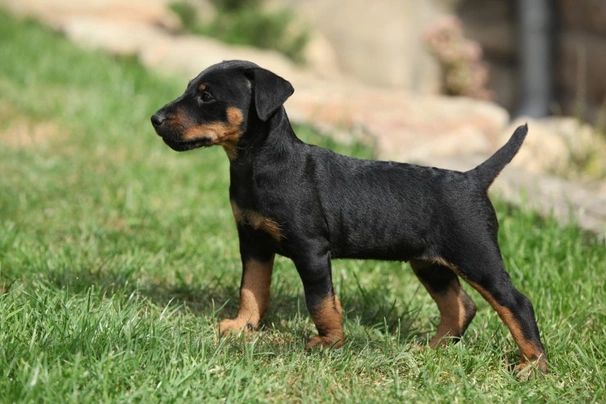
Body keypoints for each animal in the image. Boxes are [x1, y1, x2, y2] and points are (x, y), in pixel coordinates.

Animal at [151, 59, 548, 372]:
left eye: (206, 96)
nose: (154, 119)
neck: (258, 163)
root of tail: (473, 178)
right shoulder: (253, 243)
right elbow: (251, 288)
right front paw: (242, 326)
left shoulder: (311, 250)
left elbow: (320, 301)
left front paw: (329, 343)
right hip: (429, 263)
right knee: (461, 305)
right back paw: (432, 349)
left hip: (476, 255)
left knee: (516, 302)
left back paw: (533, 366)